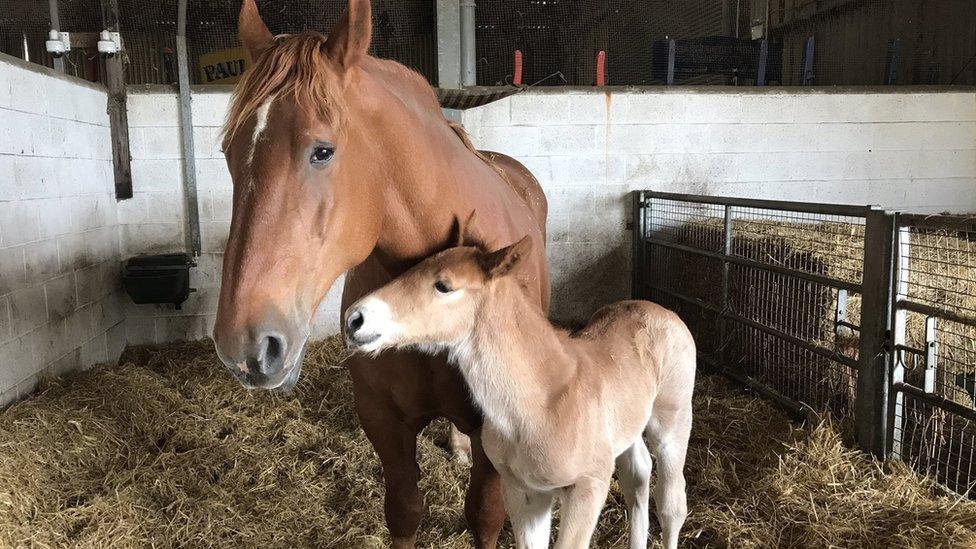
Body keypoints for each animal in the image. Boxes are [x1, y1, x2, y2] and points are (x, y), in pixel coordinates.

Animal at [344, 233, 692, 544]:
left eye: (443, 285)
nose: (354, 318)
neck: (539, 401)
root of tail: (659, 310)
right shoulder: (523, 492)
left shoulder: (589, 488)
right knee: (638, 475)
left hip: (672, 423)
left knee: (671, 504)